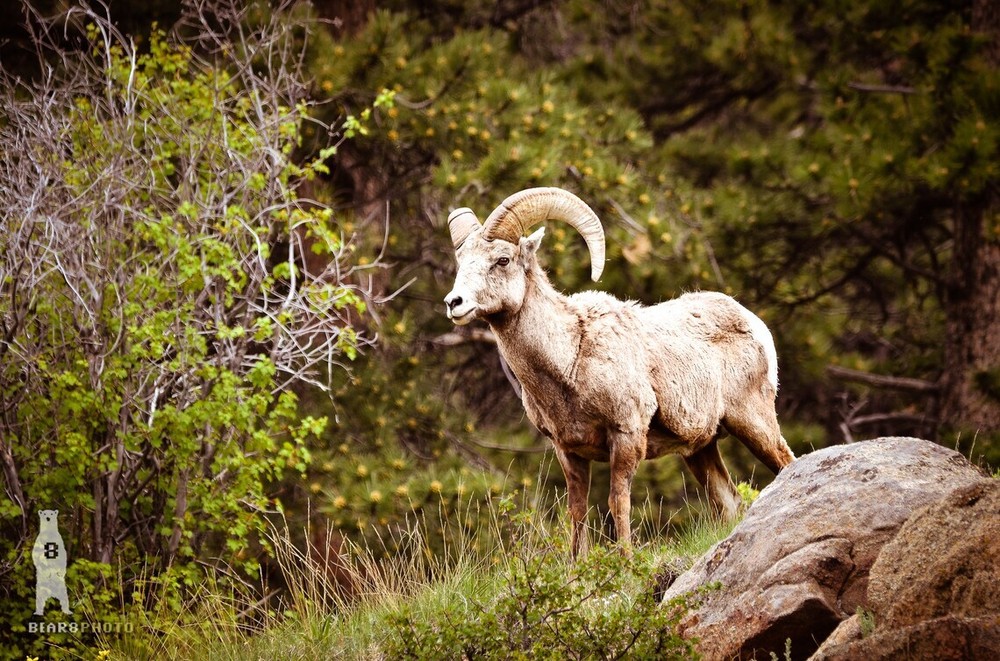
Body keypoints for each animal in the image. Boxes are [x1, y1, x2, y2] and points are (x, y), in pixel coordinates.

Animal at [443, 187, 795, 557]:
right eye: (462, 261)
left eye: (502, 260)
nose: (454, 303)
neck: (571, 357)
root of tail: (754, 323)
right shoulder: (568, 452)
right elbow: (578, 511)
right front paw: (577, 566)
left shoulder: (626, 436)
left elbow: (618, 504)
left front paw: (625, 561)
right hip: (701, 448)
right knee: (729, 503)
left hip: (752, 421)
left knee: (785, 462)